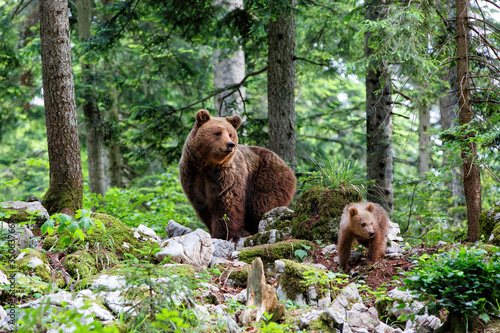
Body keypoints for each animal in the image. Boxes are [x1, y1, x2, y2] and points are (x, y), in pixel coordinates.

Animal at [181, 109, 294, 239]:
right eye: (218, 133)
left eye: (230, 134)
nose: (230, 144)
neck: (207, 166)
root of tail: (286, 165)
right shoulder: (193, 175)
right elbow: (203, 207)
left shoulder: (226, 176)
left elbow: (226, 204)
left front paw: (223, 234)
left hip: (267, 177)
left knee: (263, 203)